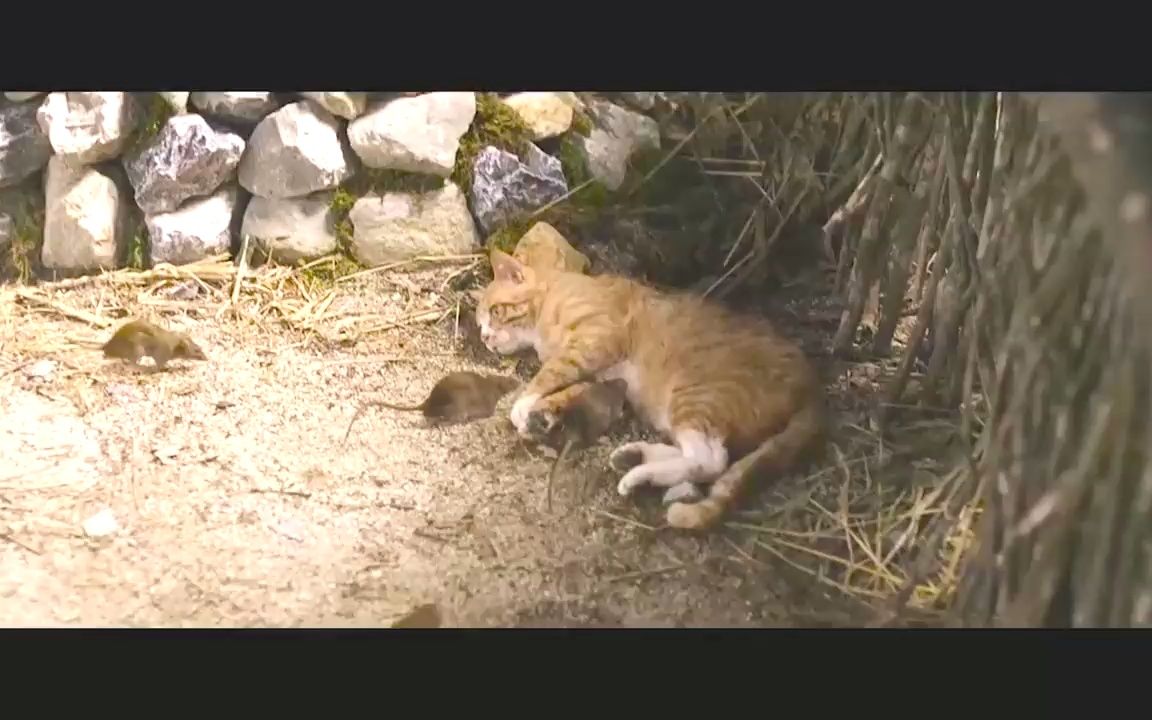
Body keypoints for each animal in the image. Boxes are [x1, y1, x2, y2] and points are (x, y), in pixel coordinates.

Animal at [472, 248, 824, 527]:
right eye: (479, 325)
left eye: (495, 312)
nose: (485, 339)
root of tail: (812, 382)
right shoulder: (600, 374)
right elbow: (567, 388)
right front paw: (542, 413)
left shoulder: (596, 339)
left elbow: (547, 375)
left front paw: (523, 405)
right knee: (701, 456)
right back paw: (634, 456)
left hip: (694, 395)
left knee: (710, 460)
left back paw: (639, 474)